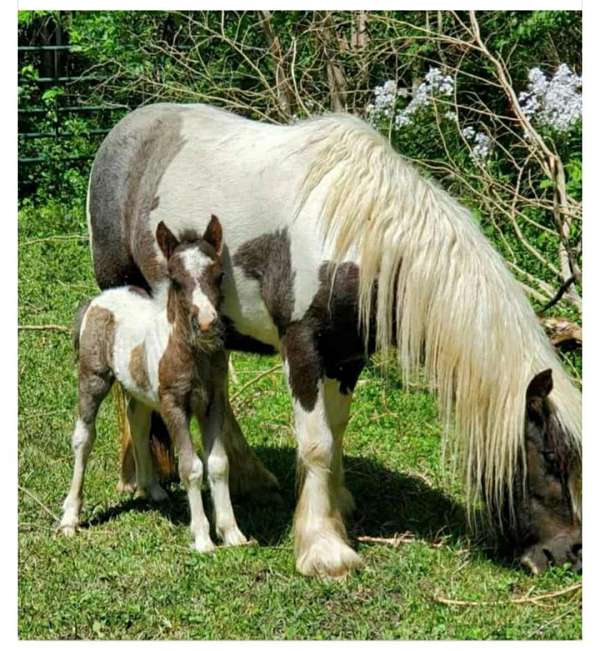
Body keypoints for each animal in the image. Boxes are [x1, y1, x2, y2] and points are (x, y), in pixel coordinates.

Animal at [59, 216, 247, 552]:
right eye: (175, 279)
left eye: (219, 275)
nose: (207, 323)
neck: (192, 354)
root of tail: (97, 300)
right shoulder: (174, 405)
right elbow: (191, 467)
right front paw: (203, 539)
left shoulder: (213, 402)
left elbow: (218, 463)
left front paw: (232, 533)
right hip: (93, 377)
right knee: (83, 437)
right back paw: (70, 518)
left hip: (140, 388)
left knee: (137, 419)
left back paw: (152, 488)